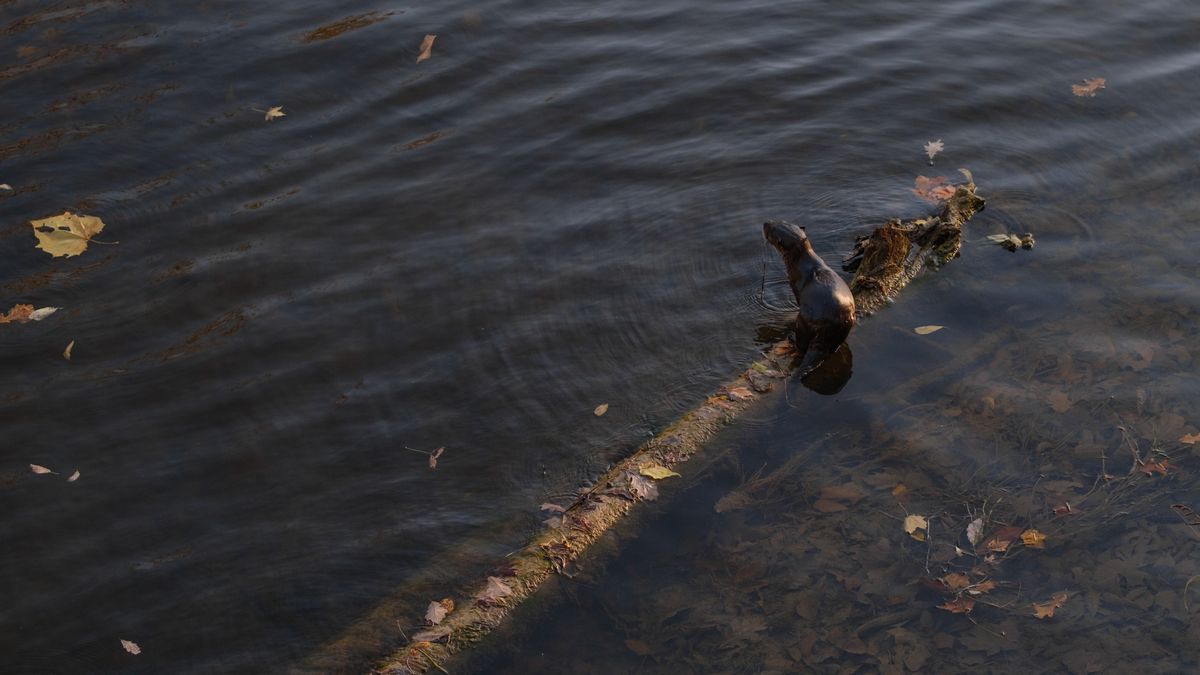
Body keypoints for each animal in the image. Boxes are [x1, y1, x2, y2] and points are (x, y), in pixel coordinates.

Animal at [763, 220, 856, 377]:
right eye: (779, 221)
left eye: (770, 230)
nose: (765, 223)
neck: (803, 264)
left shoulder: (795, 284)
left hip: (803, 323)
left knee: (802, 344)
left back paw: (791, 339)